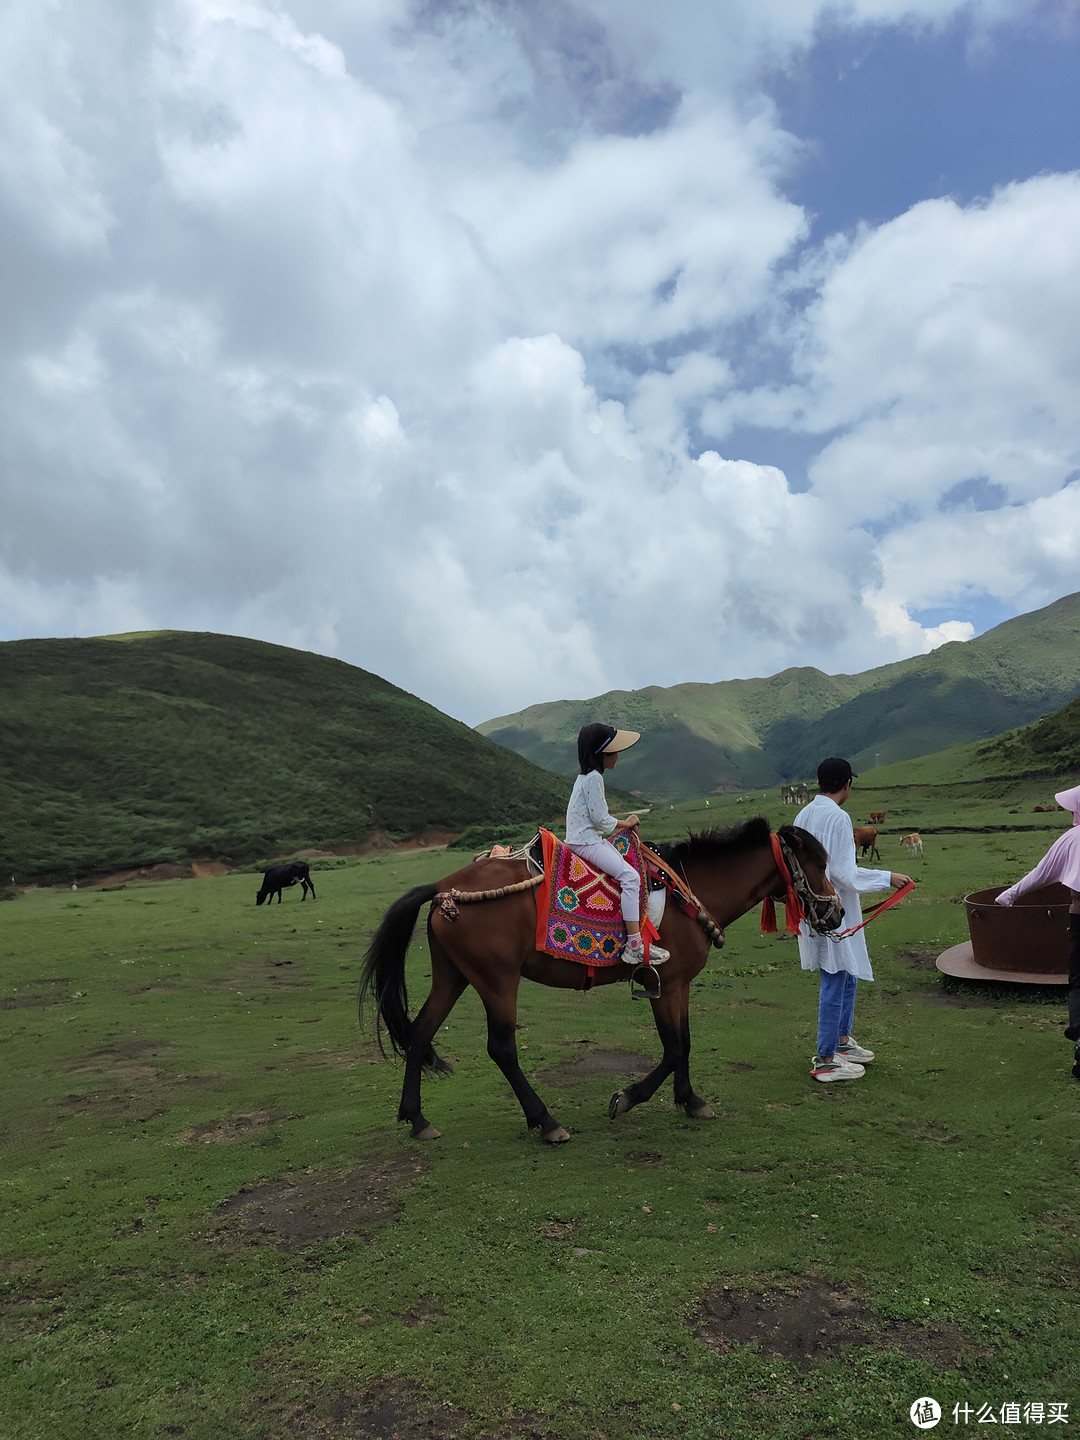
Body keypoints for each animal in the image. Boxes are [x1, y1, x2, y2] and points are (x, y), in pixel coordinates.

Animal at [360, 817, 840, 1140]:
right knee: (501, 1048)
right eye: (817, 864)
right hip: (497, 980)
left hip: (454, 976)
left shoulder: (680, 985)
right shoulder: (662, 984)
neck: (688, 893)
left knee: (420, 1033)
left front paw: (690, 1100)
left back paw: (417, 1119)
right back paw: (546, 1121)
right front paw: (627, 1098)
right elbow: (674, 1047)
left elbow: (685, 1043)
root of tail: (444, 888)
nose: (836, 913)